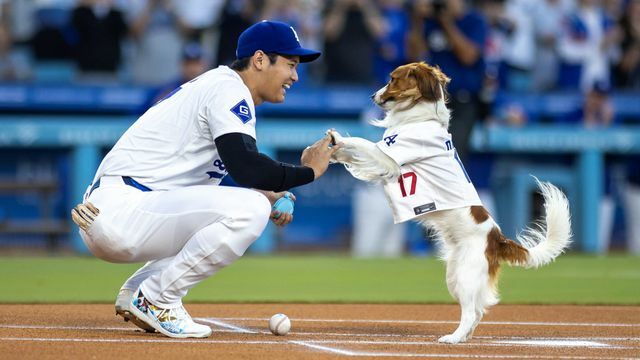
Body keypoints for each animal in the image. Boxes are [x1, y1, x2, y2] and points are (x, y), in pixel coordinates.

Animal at [328, 62, 572, 344]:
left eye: (392, 80)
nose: (372, 96)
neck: (420, 117)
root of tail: (497, 239)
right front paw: (332, 152)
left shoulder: (388, 155)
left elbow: (361, 144)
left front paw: (337, 140)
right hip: (454, 274)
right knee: (477, 311)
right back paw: (463, 337)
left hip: (465, 275)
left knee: (471, 311)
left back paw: (453, 338)